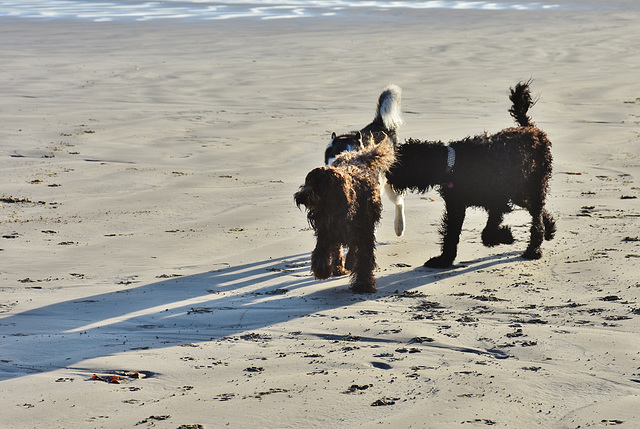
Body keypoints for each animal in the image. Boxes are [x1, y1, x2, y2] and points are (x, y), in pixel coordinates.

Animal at [296, 142, 396, 292]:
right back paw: (338, 268)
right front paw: (322, 270)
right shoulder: (327, 229)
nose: (300, 197)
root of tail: (356, 155)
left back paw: (348, 263)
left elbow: (363, 257)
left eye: (318, 185)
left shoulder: (364, 232)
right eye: (307, 182)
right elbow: (322, 250)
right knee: (337, 248)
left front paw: (363, 283)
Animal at [384, 80, 556, 266]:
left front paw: (506, 236)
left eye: (400, 163)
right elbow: (451, 234)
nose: (386, 174)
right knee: (536, 209)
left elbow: (487, 232)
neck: (455, 165)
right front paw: (444, 260)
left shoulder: (498, 201)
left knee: (536, 217)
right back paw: (549, 229)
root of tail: (530, 128)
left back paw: (533, 250)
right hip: (520, 191)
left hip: (534, 185)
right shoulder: (456, 206)